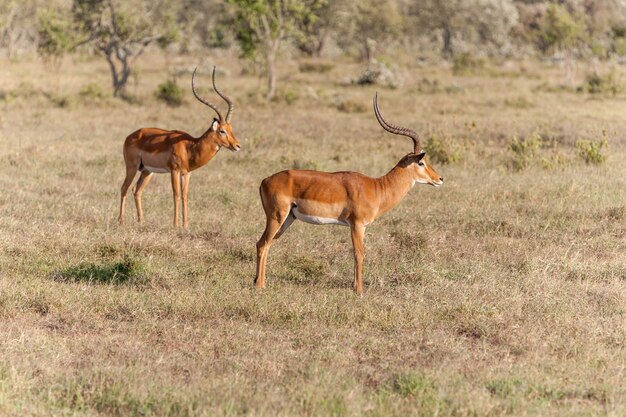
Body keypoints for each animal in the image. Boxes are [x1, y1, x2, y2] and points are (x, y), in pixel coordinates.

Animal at [117, 66, 239, 228]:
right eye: (222, 131)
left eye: (231, 129)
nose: (237, 146)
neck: (190, 147)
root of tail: (130, 136)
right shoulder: (174, 171)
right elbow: (176, 195)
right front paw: (175, 225)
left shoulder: (187, 174)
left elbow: (185, 196)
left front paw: (185, 226)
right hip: (132, 167)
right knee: (124, 188)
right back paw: (121, 221)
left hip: (147, 171)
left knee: (136, 190)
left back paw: (141, 221)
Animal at [251, 92, 442, 294]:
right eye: (421, 162)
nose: (440, 179)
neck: (377, 187)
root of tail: (264, 180)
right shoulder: (357, 225)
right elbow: (359, 254)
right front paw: (359, 291)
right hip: (276, 217)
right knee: (262, 244)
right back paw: (260, 286)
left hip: (288, 219)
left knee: (267, 244)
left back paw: (260, 282)